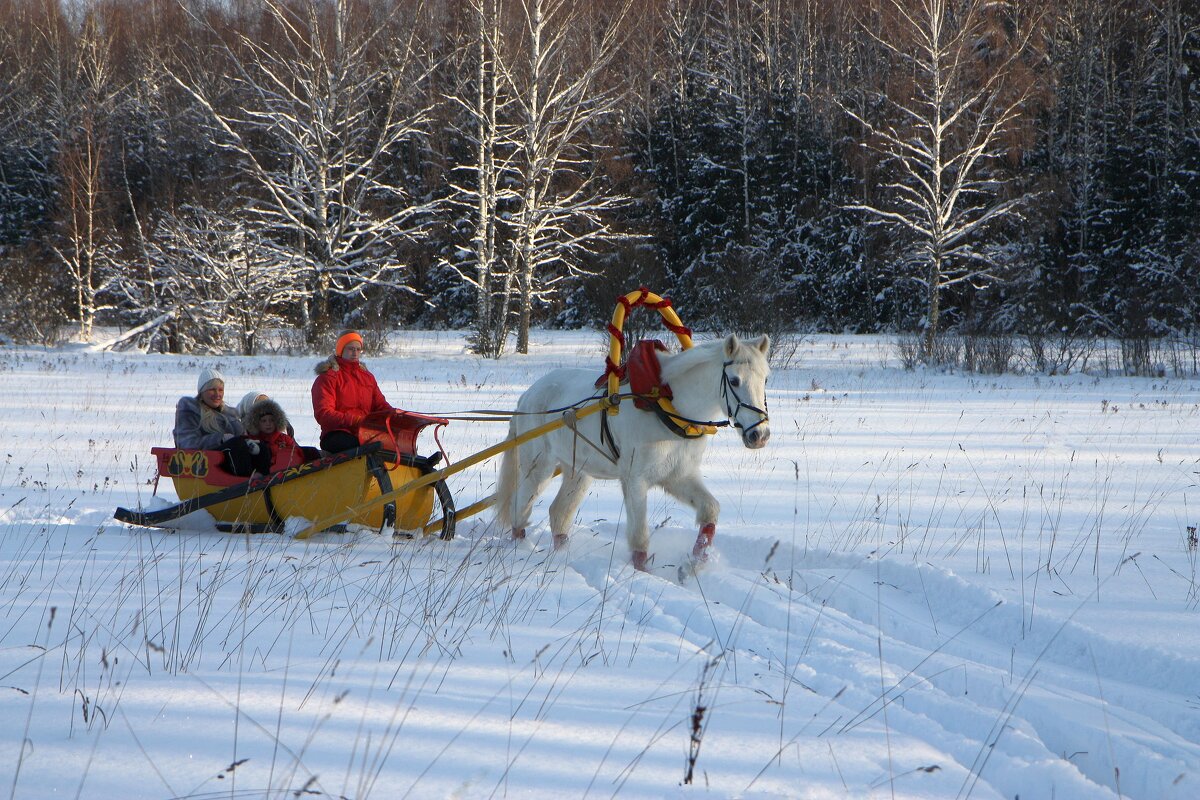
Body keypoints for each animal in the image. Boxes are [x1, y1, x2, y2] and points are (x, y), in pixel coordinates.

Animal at [494, 335, 768, 573]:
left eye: (766, 379)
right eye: (734, 380)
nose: (760, 435)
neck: (666, 405)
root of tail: (526, 396)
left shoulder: (678, 476)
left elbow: (710, 511)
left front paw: (693, 566)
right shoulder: (635, 480)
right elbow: (639, 540)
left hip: (579, 472)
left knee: (559, 514)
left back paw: (563, 555)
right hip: (538, 466)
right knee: (520, 507)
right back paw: (518, 547)